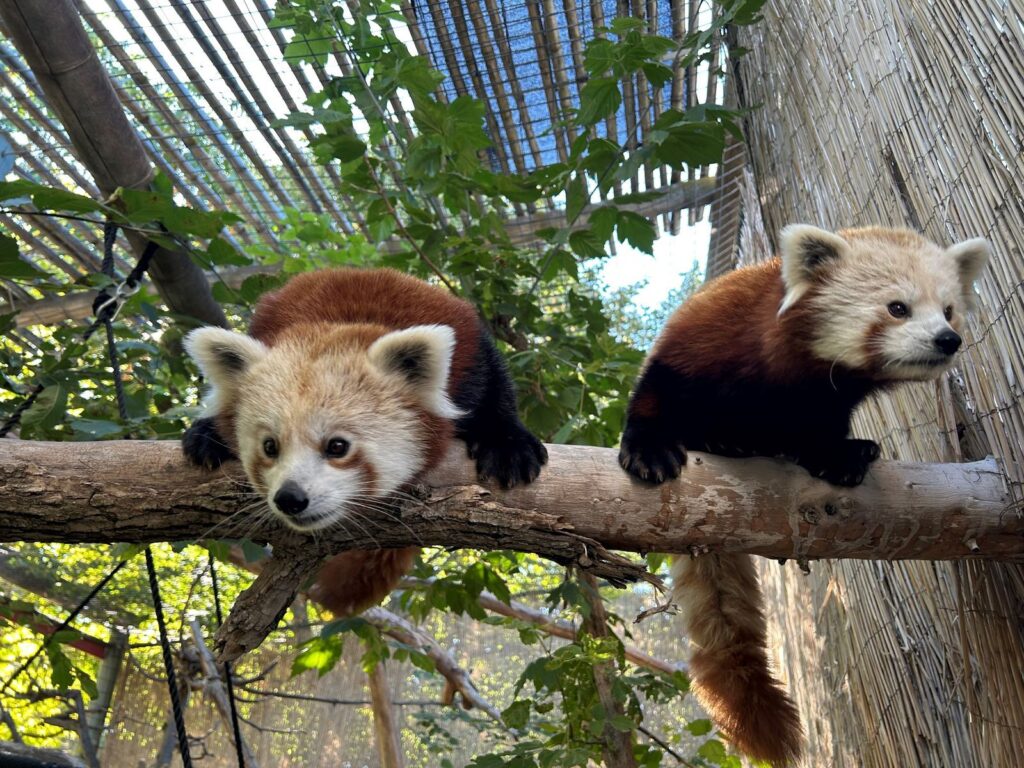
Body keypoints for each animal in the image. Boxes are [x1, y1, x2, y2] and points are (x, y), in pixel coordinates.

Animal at [180, 268, 548, 618]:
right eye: (270, 447)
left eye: (337, 446)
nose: (290, 498)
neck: (339, 324)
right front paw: (209, 435)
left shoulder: (470, 354)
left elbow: (496, 387)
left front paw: (508, 444)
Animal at [614, 225, 991, 765]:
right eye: (897, 307)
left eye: (948, 310)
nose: (947, 339)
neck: (791, 371)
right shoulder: (704, 336)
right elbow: (655, 394)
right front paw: (649, 447)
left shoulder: (825, 399)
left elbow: (822, 429)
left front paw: (839, 455)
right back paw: (725, 442)